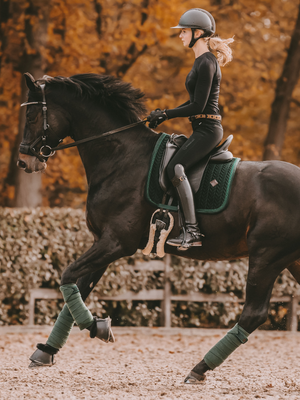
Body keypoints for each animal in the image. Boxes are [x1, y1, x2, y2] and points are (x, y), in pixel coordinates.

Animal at [17, 72, 300, 382]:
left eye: (31, 115)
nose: (24, 161)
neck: (120, 156)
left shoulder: (116, 242)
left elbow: (67, 275)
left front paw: (98, 327)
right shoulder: (103, 242)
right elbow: (78, 287)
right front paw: (47, 351)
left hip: (266, 257)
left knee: (253, 313)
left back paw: (199, 368)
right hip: (289, 260)